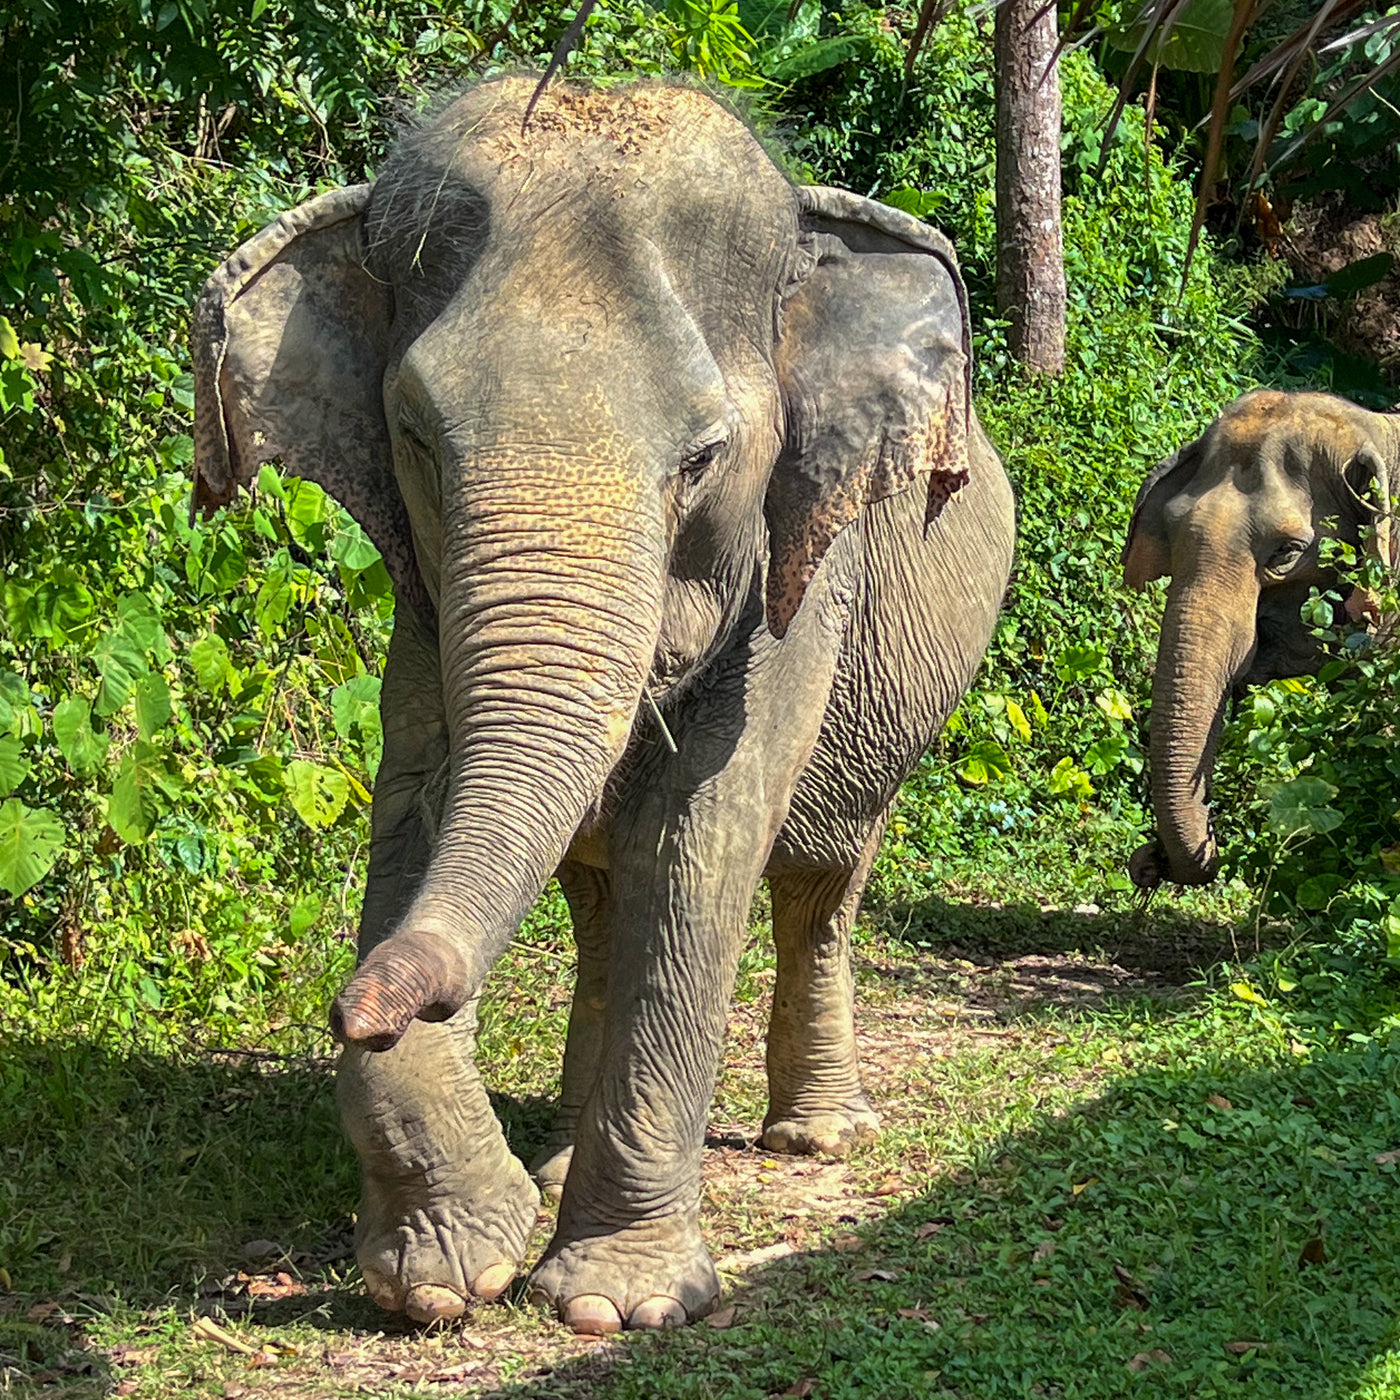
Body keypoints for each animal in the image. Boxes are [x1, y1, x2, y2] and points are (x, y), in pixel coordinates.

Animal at [190, 77, 1015, 1334]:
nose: (355, 1004)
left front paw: (612, 1304)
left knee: (817, 879)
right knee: (596, 896)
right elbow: (416, 807)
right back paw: (558, 1156)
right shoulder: (425, 610)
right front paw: (447, 1273)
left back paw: (815, 1134)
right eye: (416, 436)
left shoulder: (796, 590)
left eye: (704, 456)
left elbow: (697, 843)